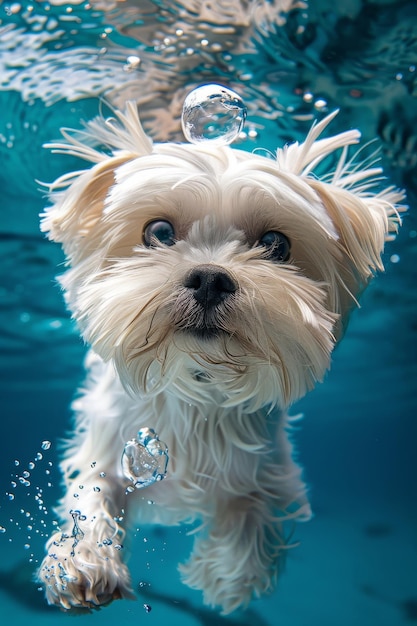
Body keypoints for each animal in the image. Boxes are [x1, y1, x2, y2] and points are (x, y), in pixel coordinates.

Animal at [38, 100, 404, 612]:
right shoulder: (110, 444)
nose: (211, 277)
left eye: (276, 244)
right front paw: (83, 559)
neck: (197, 382)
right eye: (159, 231)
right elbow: (92, 494)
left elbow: (250, 511)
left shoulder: (265, 465)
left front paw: (228, 577)